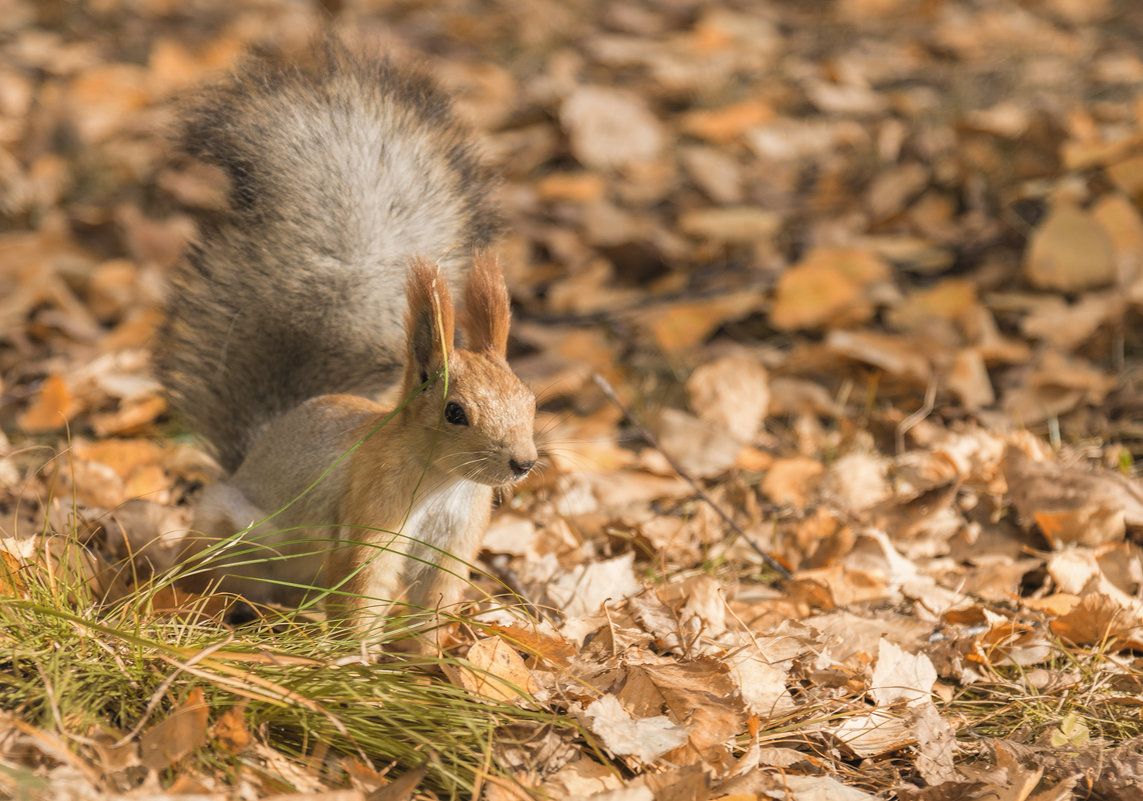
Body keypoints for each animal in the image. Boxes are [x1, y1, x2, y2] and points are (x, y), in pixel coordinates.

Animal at [153, 39, 539, 630]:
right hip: (230, 533)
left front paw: (430, 656)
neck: (444, 484)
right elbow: (363, 595)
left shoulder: (454, 544)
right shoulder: (371, 520)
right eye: (455, 412)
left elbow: (434, 605)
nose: (523, 463)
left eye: (531, 399)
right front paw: (356, 654)